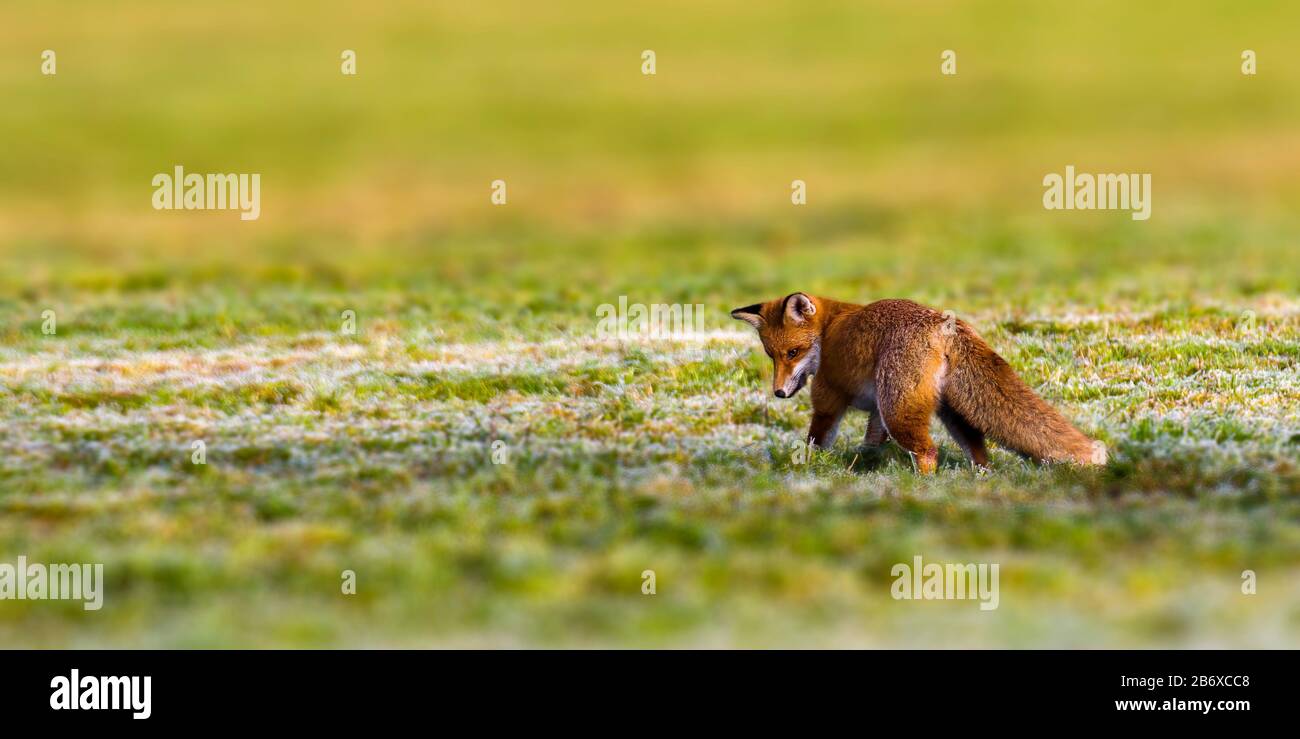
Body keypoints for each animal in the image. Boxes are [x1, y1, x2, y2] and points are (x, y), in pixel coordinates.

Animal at [731, 293, 1106, 474]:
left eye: (793, 352)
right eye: (771, 356)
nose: (779, 393)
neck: (828, 332)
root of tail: (945, 323)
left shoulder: (828, 398)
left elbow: (815, 442)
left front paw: (808, 470)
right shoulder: (877, 411)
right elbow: (871, 444)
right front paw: (864, 467)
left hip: (901, 410)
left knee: (929, 452)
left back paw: (922, 491)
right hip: (950, 412)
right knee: (979, 452)